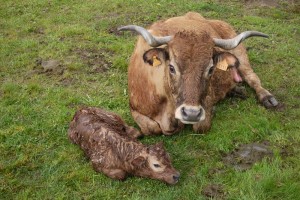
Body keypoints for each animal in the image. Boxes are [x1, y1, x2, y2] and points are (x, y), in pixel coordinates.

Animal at [118, 11, 278, 135]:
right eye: (171, 67)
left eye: (211, 69)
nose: (191, 113)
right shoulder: (134, 108)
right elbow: (150, 128)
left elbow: (200, 126)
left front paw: (212, 111)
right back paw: (236, 90)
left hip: (241, 55)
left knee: (252, 78)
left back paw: (267, 98)